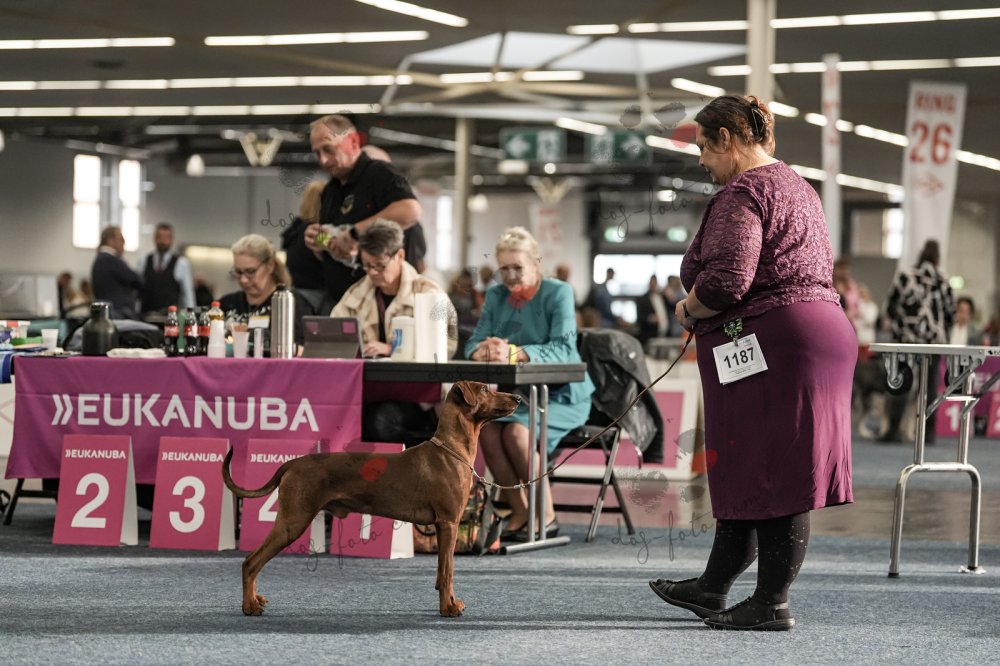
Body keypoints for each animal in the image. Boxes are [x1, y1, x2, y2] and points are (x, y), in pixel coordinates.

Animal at [222, 380, 520, 617]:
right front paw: (448, 608)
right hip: (292, 521)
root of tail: (293, 463)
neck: (451, 449)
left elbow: (441, 572)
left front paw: (450, 602)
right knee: (250, 562)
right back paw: (249, 606)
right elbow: (448, 571)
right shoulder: (448, 523)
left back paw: (256, 599)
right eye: (484, 389)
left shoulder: (442, 525)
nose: (517, 398)